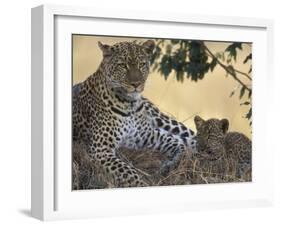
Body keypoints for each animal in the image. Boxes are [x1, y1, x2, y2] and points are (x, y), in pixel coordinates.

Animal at [72, 39, 196, 187]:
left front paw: (171, 163)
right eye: (122, 65)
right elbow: (129, 172)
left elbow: (178, 145)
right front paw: (143, 184)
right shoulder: (101, 150)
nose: (136, 84)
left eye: (141, 64)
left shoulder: (149, 135)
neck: (129, 105)